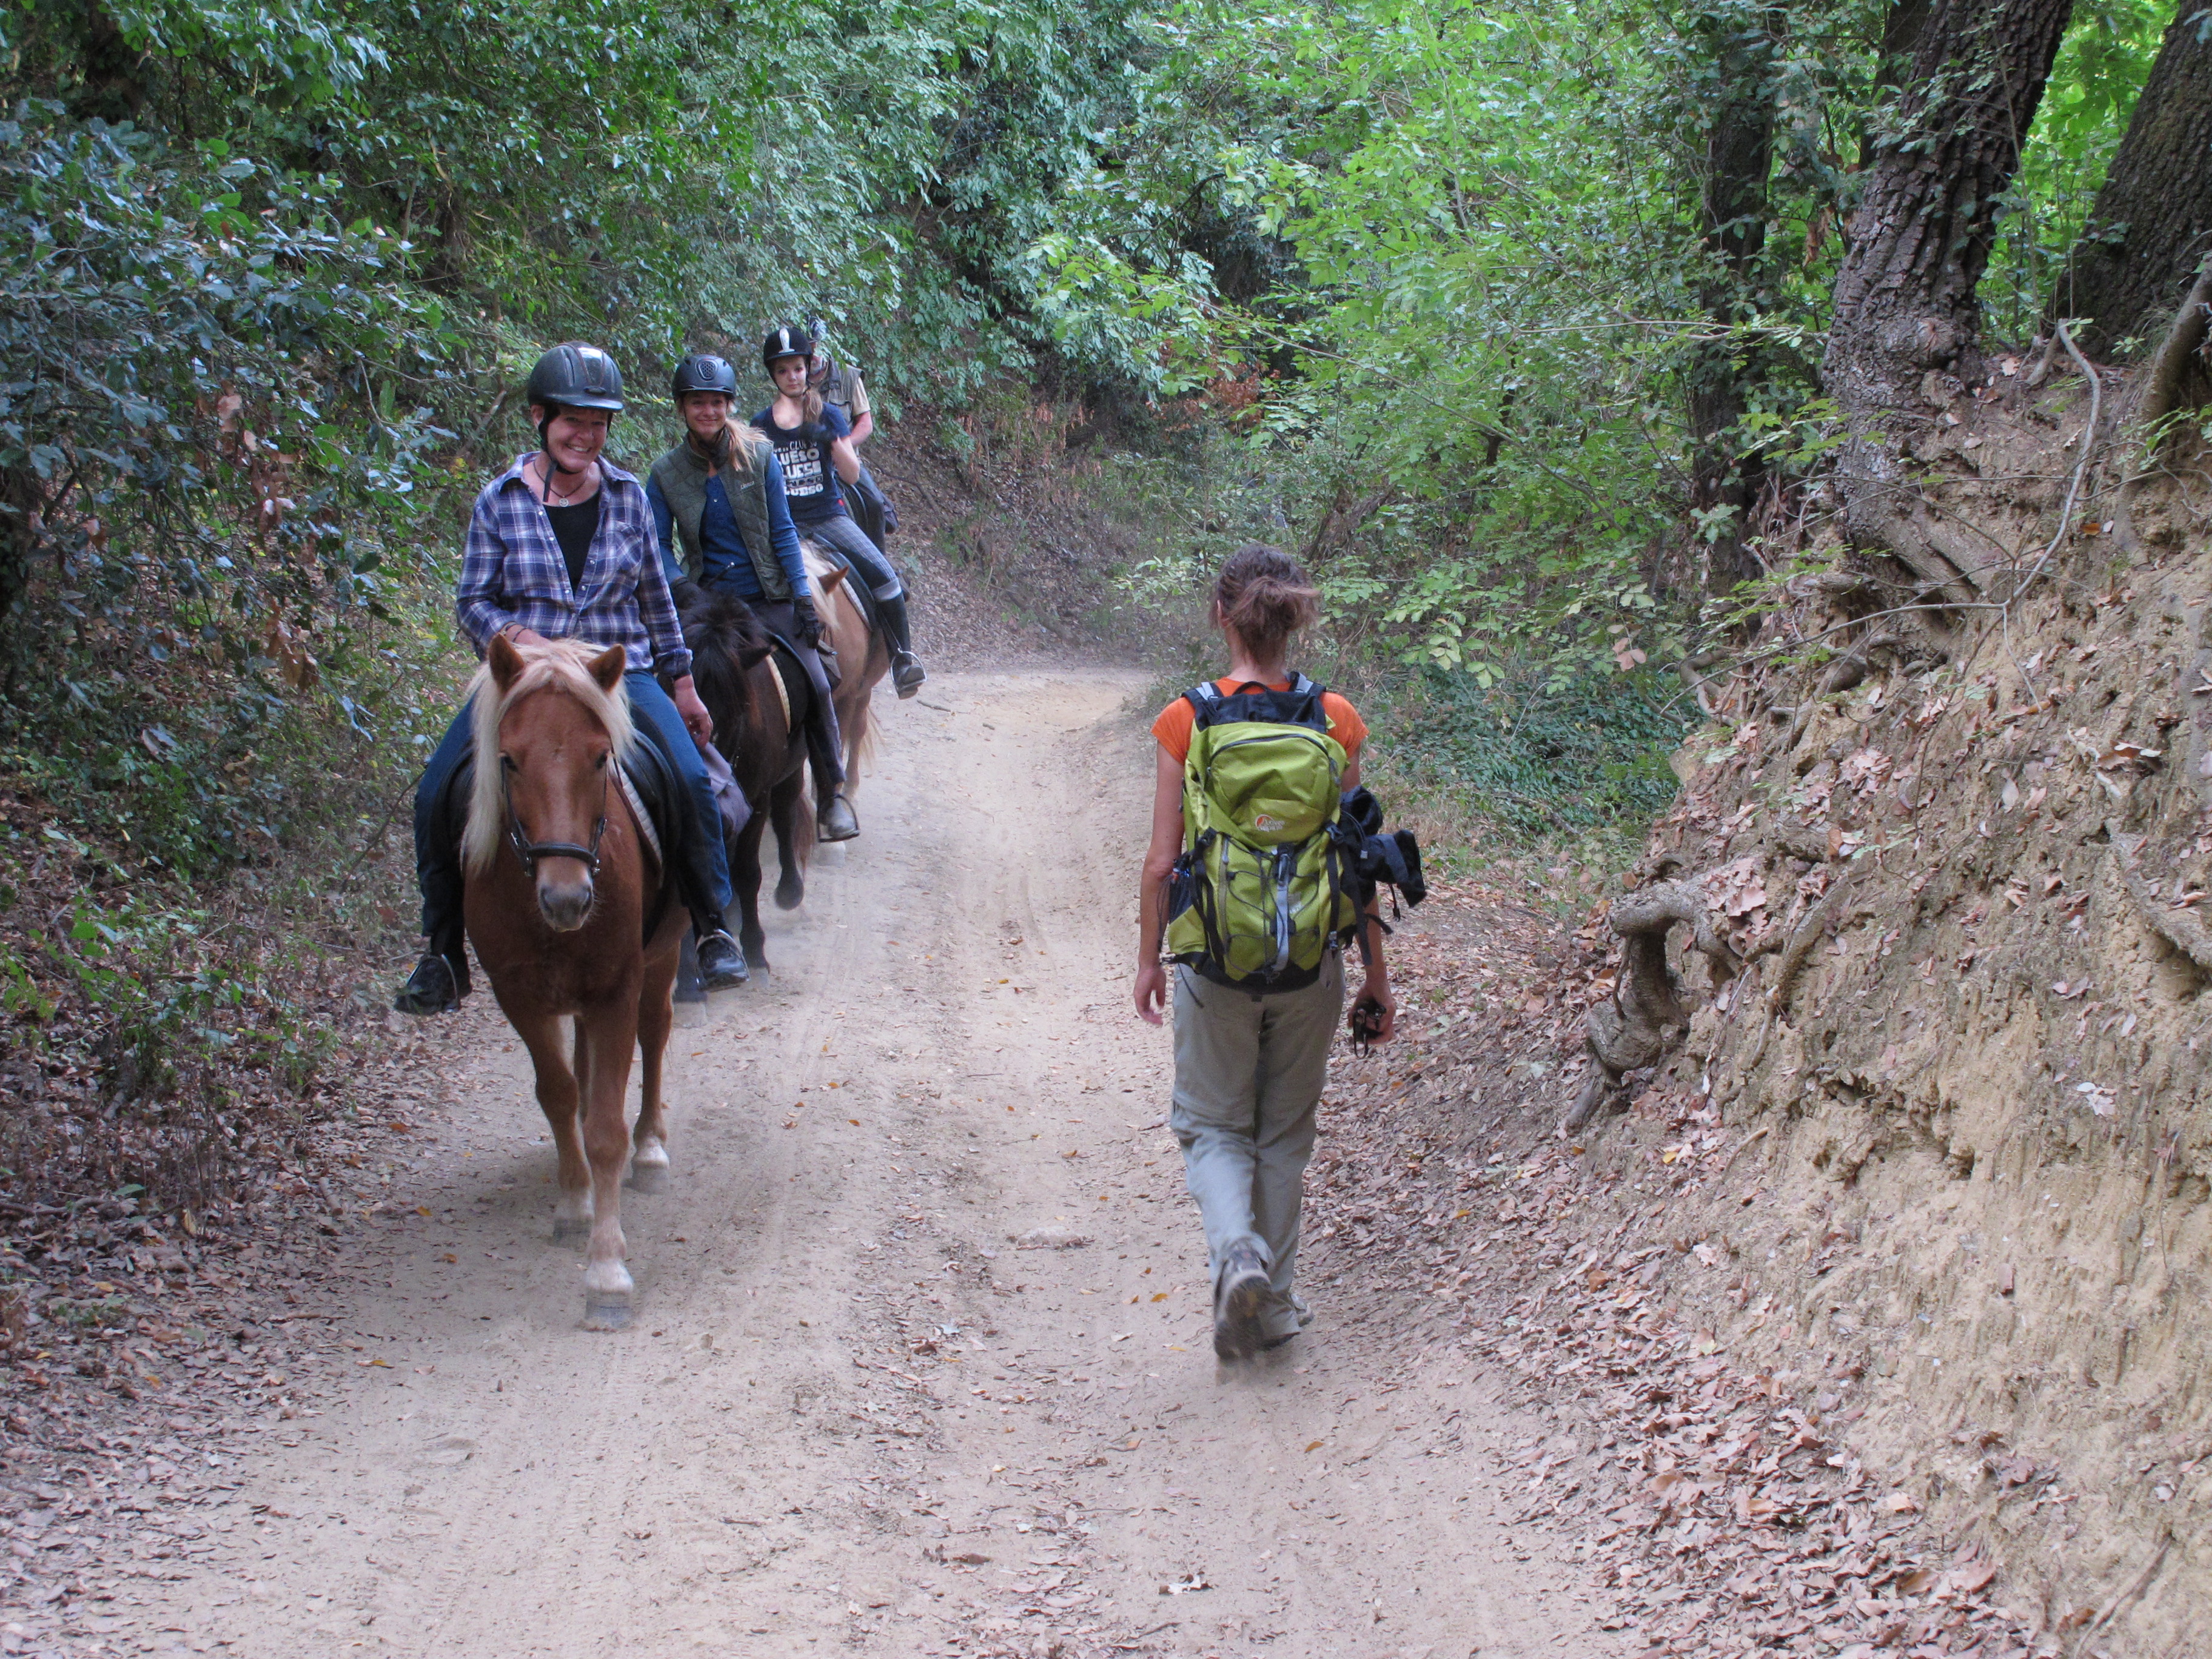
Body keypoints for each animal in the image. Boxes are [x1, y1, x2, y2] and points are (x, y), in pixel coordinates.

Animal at [460, 637, 681, 1336]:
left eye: (602, 756)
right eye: (508, 759)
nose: (567, 899)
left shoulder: (616, 990)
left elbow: (609, 1129)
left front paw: (606, 1274)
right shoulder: (518, 996)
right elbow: (557, 1094)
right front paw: (575, 1203)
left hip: (663, 954)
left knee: (656, 1036)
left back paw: (651, 1150)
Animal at [677, 584, 818, 973]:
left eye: (738, 713)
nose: (710, 785)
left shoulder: (755, 798)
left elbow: (747, 872)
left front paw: (754, 950)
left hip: (788, 772)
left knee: (785, 817)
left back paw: (789, 892)